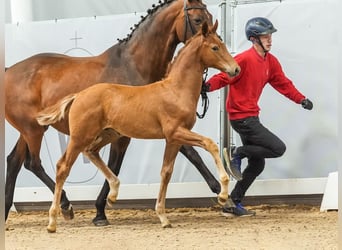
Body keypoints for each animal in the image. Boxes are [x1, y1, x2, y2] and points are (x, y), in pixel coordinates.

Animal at [4, 0, 219, 227]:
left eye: (210, 18)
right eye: (198, 20)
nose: (216, 42)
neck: (133, 66)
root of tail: (9, 71)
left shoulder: (165, 125)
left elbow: (192, 154)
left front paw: (224, 196)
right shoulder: (127, 134)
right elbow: (114, 166)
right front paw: (100, 211)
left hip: (32, 129)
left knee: (15, 161)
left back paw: (8, 210)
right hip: (33, 130)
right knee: (33, 163)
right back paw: (66, 206)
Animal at [36, 20, 240, 232]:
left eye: (222, 44)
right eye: (215, 47)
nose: (236, 69)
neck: (175, 90)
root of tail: (79, 95)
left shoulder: (173, 140)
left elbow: (166, 172)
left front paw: (163, 217)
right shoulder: (176, 132)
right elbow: (210, 144)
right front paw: (223, 194)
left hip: (109, 134)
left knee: (91, 152)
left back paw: (113, 194)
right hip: (80, 137)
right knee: (63, 167)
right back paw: (53, 221)